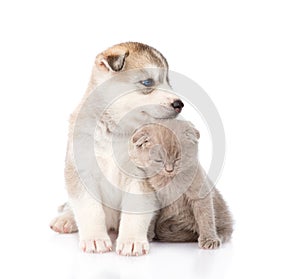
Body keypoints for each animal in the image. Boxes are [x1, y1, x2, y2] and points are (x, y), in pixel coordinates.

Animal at [130, 120, 233, 249]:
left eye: (178, 158)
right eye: (159, 160)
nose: (169, 170)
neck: (169, 181)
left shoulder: (200, 192)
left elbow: (206, 216)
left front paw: (209, 239)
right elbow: (150, 217)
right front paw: (146, 236)